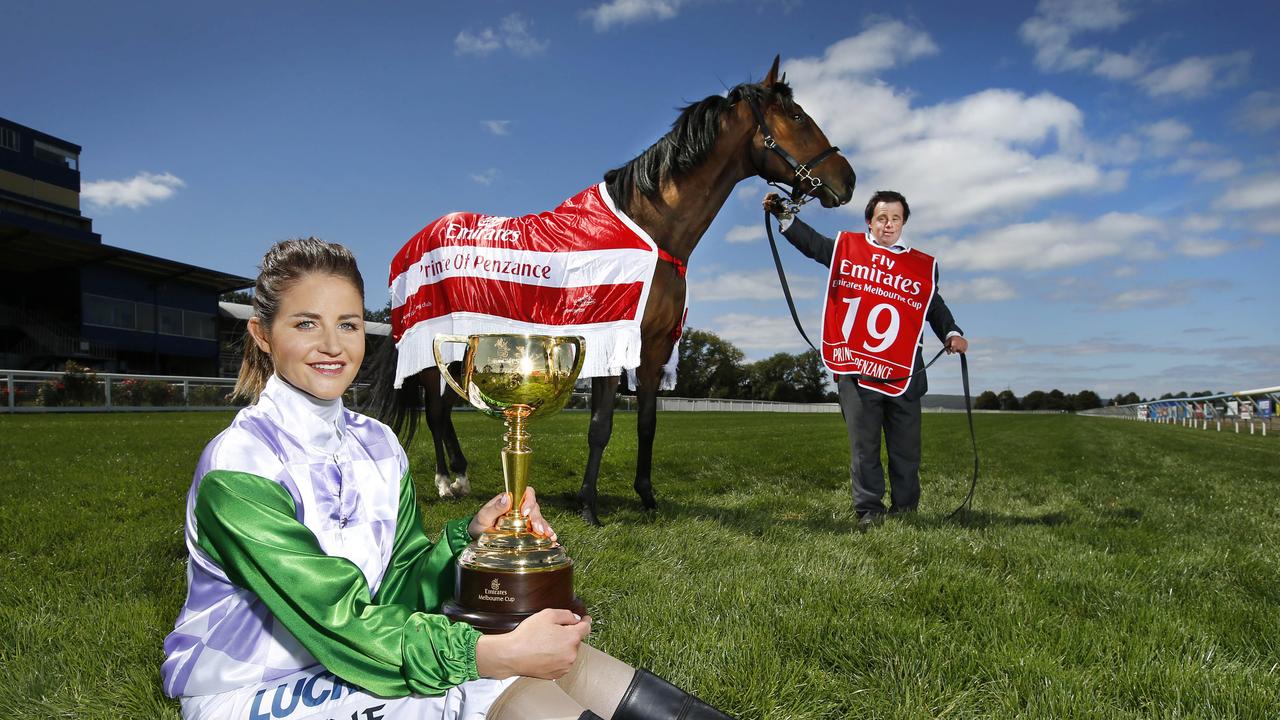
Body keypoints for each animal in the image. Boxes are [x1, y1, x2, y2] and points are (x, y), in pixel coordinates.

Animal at [371, 56, 855, 525]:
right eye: (797, 116)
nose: (847, 180)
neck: (652, 235)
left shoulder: (654, 348)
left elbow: (647, 423)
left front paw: (647, 497)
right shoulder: (607, 339)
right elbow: (600, 425)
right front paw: (588, 504)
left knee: (445, 410)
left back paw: (461, 476)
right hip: (432, 345)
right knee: (435, 412)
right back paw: (447, 483)